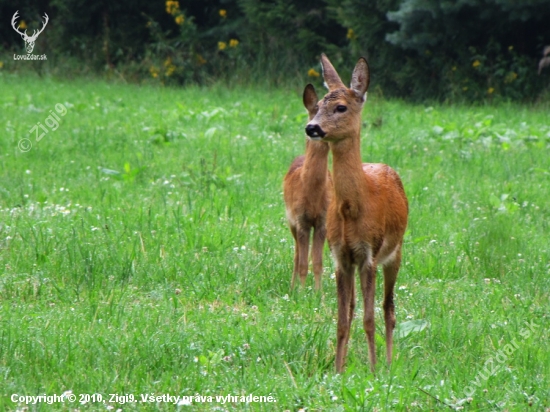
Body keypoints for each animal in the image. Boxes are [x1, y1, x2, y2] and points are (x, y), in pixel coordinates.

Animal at [306, 54, 410, 374]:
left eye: (340, 107)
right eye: (318, 105)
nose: (311, 127)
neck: (354, 208)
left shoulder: (369, 255)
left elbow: (369, 318)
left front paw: (374, 371)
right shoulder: (340, 256)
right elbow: (343, 319)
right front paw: (338, 371)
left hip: (396, 252)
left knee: (389, 309)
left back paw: (388, 363)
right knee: (354, 308)